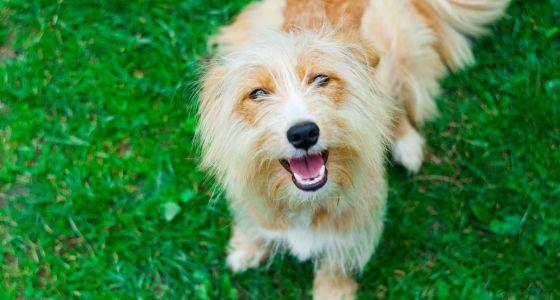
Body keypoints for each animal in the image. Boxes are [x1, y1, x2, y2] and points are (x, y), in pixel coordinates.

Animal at [197, 0, 508, 298]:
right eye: (258, 93)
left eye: (321, 79)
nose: (303, 133)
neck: (307, 201)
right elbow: (254, 223)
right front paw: (246, 249)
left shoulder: (356, 223)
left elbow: (337, 262)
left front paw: (332, 291)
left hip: (394, 57)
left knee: (394, 105)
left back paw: (407, 146)